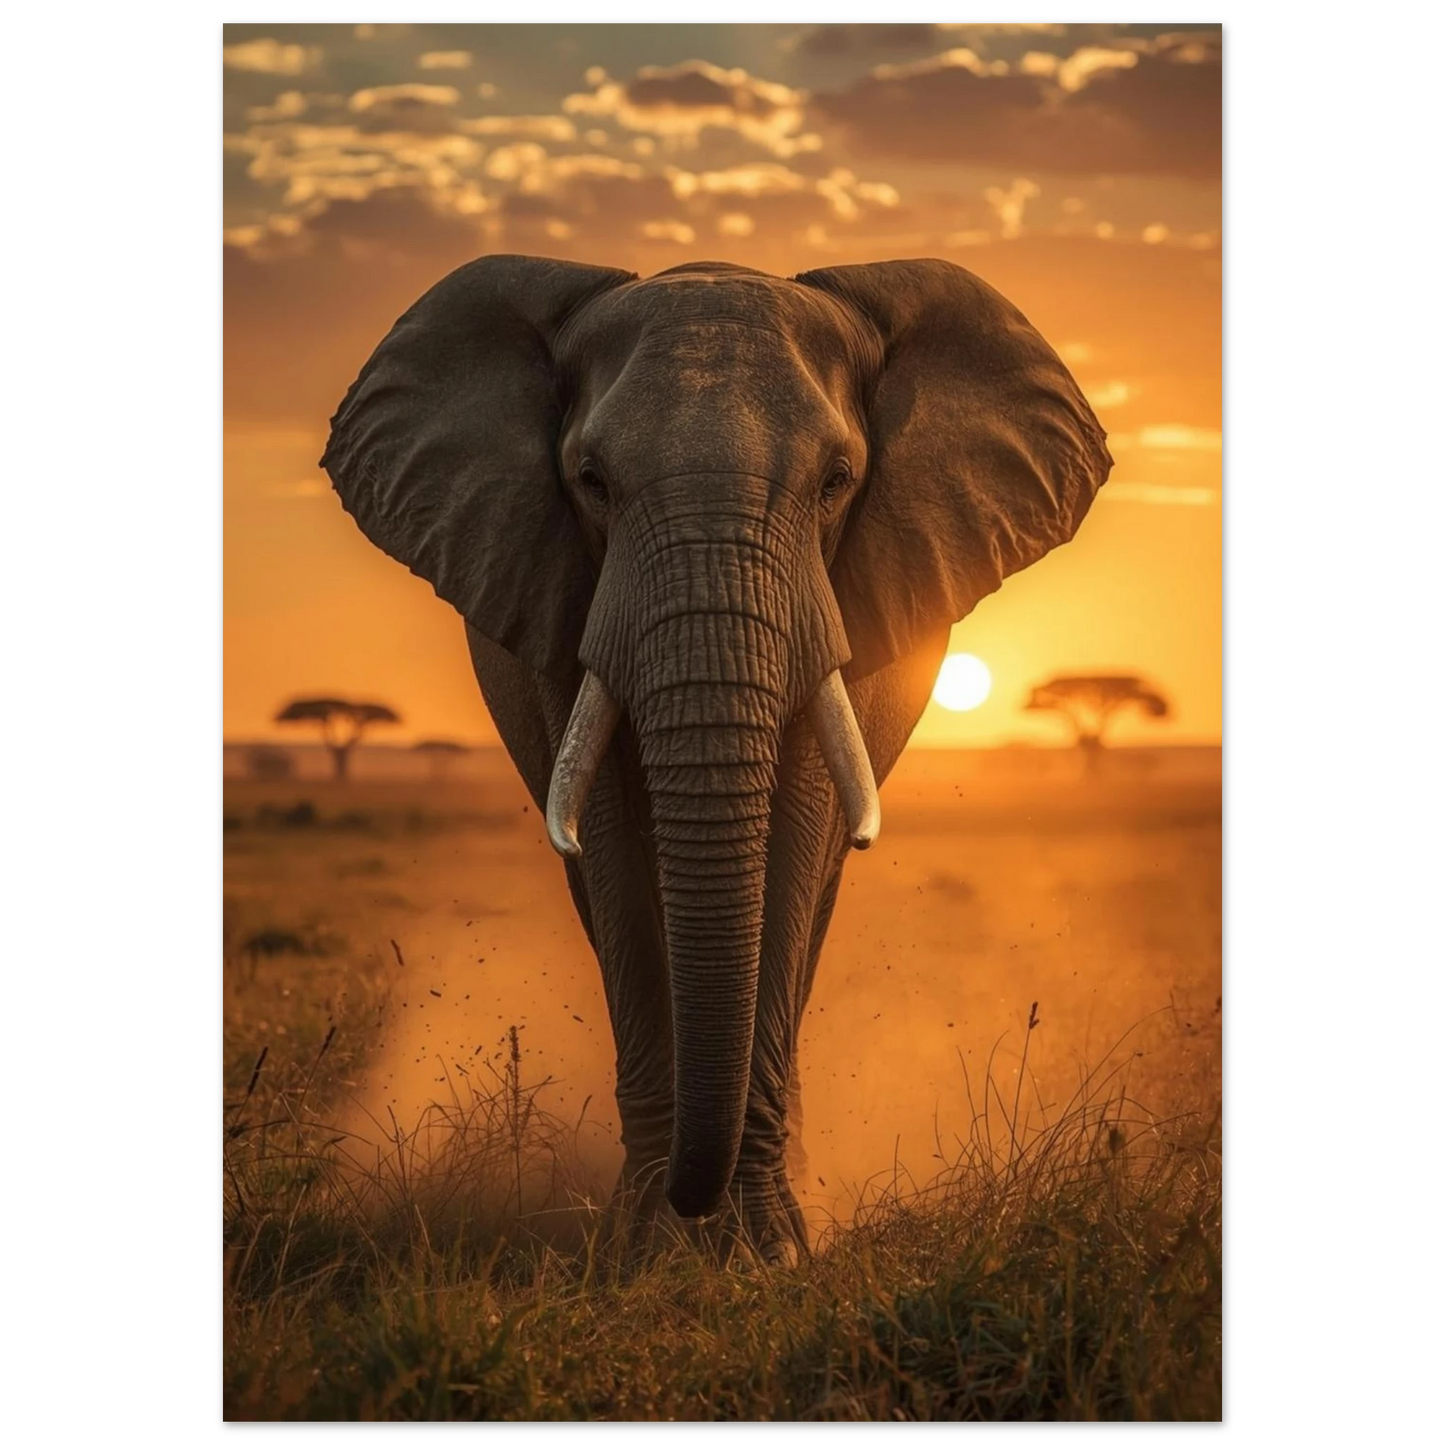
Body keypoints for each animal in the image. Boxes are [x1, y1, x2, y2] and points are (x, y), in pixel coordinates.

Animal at [319, 255, 1112, 1265]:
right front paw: (644, 1253)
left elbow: (795, 843)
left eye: (837, 480)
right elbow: (616, 858)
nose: (694, 1206)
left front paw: (768, 1253)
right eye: (590, 481)